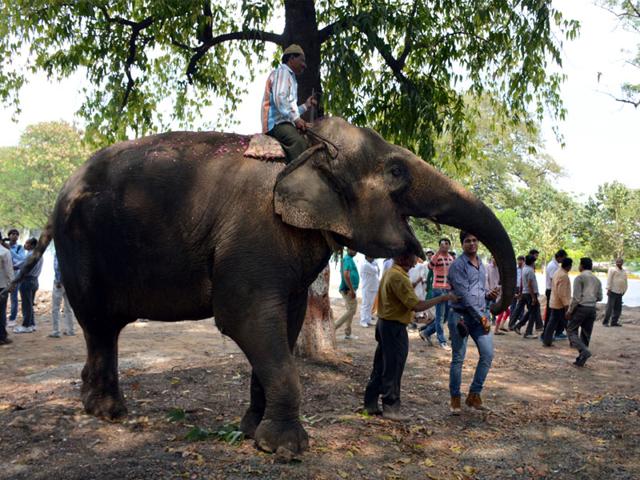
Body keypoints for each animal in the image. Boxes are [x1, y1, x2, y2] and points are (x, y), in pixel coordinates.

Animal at [13, 116, 515, 454]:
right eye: (395, 172)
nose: (491, 307)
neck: (305, 150)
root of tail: (60, 192)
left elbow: (284, 324)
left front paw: (253, 432)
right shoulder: (254, 233)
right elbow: (245, 317)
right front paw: (287, 448)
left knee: (105, 329)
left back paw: (95, 406)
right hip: (82, 248)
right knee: (100, 324)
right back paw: (109, 412)